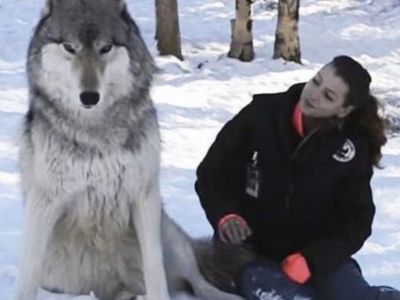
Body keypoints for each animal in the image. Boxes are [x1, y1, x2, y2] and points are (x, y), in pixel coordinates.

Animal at [16, 0, 253, 300]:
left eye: (106, 48)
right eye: (69, 47)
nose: (89, 97)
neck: (97, 131)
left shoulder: (144, 196)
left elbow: (154, 268)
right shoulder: (45, 202)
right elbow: (27, 273)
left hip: (170, 235)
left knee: (198, 283)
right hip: (62, 276)